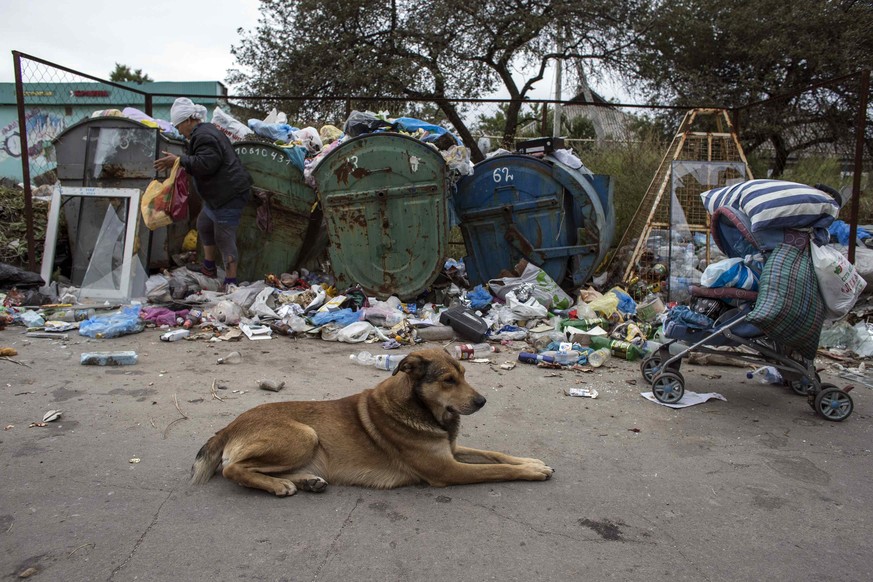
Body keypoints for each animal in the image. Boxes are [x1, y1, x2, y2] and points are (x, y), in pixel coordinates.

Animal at [192, 350, 552, 496]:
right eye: (448, 380)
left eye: (464, 374)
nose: (482, 402)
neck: (418, 407)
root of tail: (229, 425)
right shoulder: (447, 470)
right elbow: (496, 469)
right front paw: (531, 472)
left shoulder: (450, 450)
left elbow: (495, 454)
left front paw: (532, 461)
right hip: (304, 436)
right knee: (233, 469)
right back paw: (279, 486)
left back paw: (307, 481)